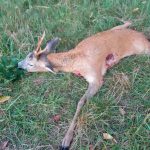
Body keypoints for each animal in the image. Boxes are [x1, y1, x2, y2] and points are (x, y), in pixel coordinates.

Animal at [17, 21, 150, 149]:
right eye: (27, 54)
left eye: (31, 64)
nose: (18, 64)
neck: (75, 60)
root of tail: (143, 36)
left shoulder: (96, 78)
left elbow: (80, 101)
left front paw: (66, 141)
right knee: (127, 22)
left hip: (143, 49)